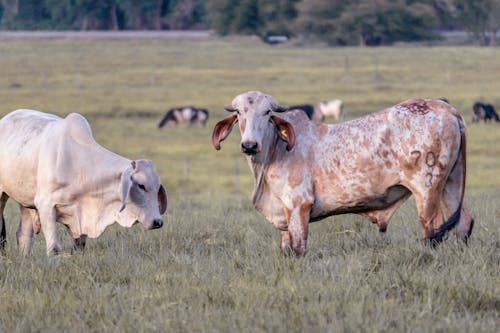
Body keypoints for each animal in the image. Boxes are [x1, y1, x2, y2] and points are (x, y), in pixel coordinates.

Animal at [0, 109, 168, 254]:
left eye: (157, 188)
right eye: (141, 186)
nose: (158, 222)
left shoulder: (82, 213)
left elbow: (80, 246)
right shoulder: (45, 205)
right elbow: (54, 248)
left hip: (25, 201)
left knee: (23, 235)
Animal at [213, 90, 474, 254]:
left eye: (267, 113)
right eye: (239, 113)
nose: (249, 145)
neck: (275, 150)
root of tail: (447, 109)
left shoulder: (299, 206)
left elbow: (298, 249)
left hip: (427, 190)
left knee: (434, 231)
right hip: (451, 183)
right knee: (463, 224)